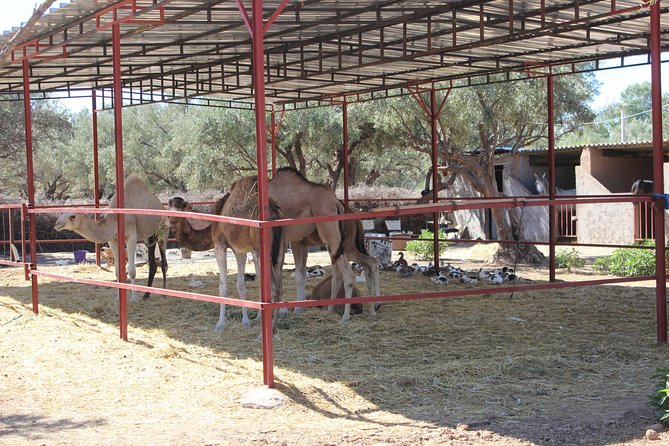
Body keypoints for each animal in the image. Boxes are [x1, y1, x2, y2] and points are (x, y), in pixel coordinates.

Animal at [268, 169, 380, 322]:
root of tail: (338, 204)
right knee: (371, 262)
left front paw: (292, 309)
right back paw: (371, 309)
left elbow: (288, 274)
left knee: (349, 274)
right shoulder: (301, 243)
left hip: (335, 241)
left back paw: (345, 317)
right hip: (345, 247)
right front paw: (298, 308)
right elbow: (301, 274)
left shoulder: (292, 241)